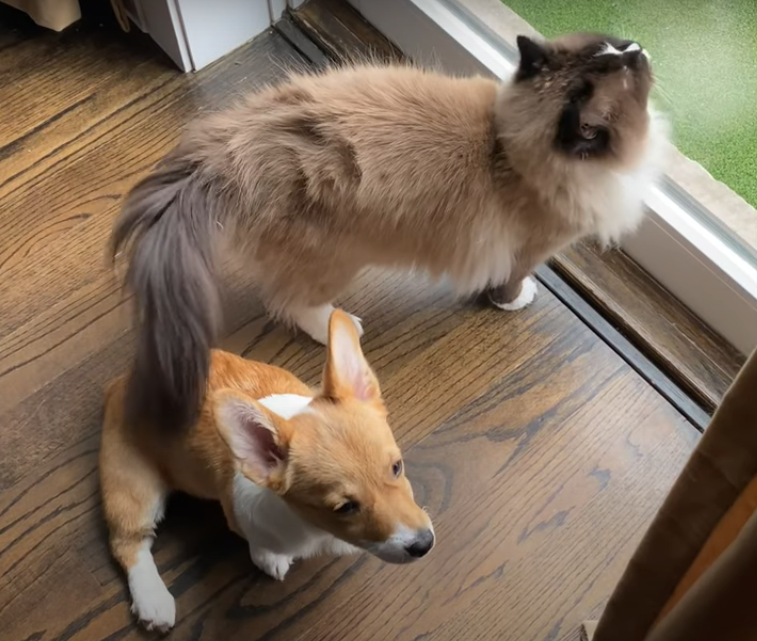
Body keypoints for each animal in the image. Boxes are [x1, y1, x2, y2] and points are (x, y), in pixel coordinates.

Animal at [97, 308, 434, 632]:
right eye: (345, 507)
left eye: (397, 467)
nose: (424, 544)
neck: (311, 527)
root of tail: (124, 381)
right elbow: (260, 546)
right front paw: (271, 559)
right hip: (133, 489)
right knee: (128, 543)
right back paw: (153, 601)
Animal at [109, 32, 664, 432]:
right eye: (629, 68)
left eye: (620, 47)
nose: (639, 47)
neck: (506, 145)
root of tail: (231, 150)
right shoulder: (533, 247)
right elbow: (511, 280)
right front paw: (515, 300)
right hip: (337, 257)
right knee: (291, 303)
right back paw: (343, 325)